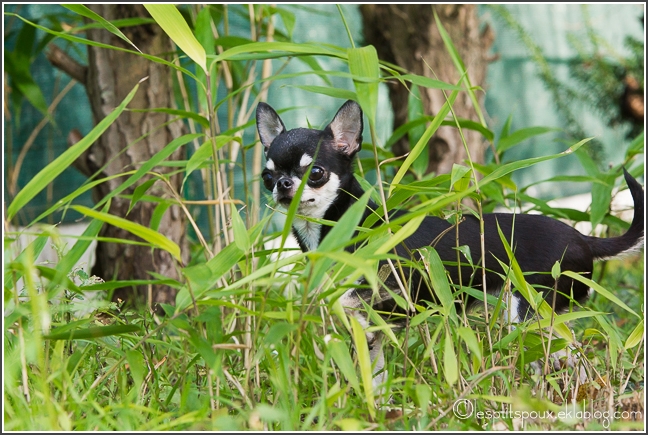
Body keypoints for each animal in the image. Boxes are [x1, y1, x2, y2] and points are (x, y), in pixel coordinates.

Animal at [256, 99, 644, 392]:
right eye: (267, 176)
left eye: (316, 173)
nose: (284, 185)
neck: (341, 226)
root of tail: (584, 238)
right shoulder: (371, 326)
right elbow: (374, 373)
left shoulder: (381, 309)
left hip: (530, 315)